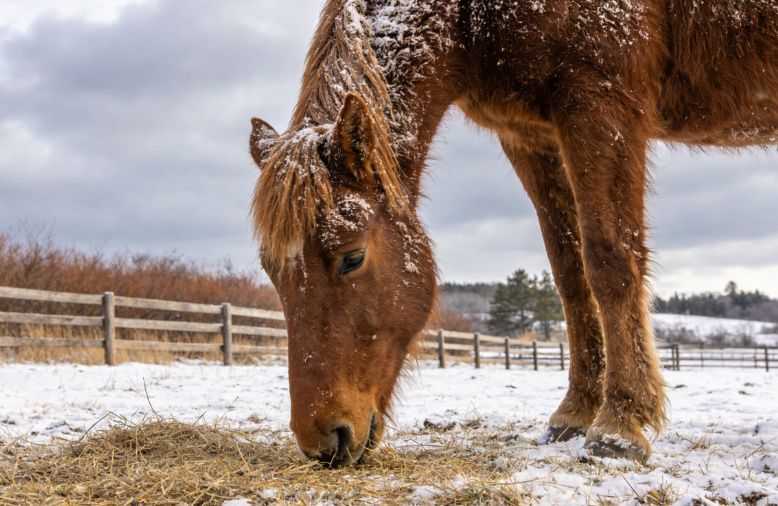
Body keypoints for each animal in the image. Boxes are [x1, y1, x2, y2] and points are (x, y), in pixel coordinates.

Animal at [249, 0, 778, 467]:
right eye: (272, 272)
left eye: (352, 257)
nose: (323, 441)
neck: (473, 16)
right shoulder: (530, 137)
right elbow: (571, 275)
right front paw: (575, 414)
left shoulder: (601, 104)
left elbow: (609, 260)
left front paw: (620, 427)